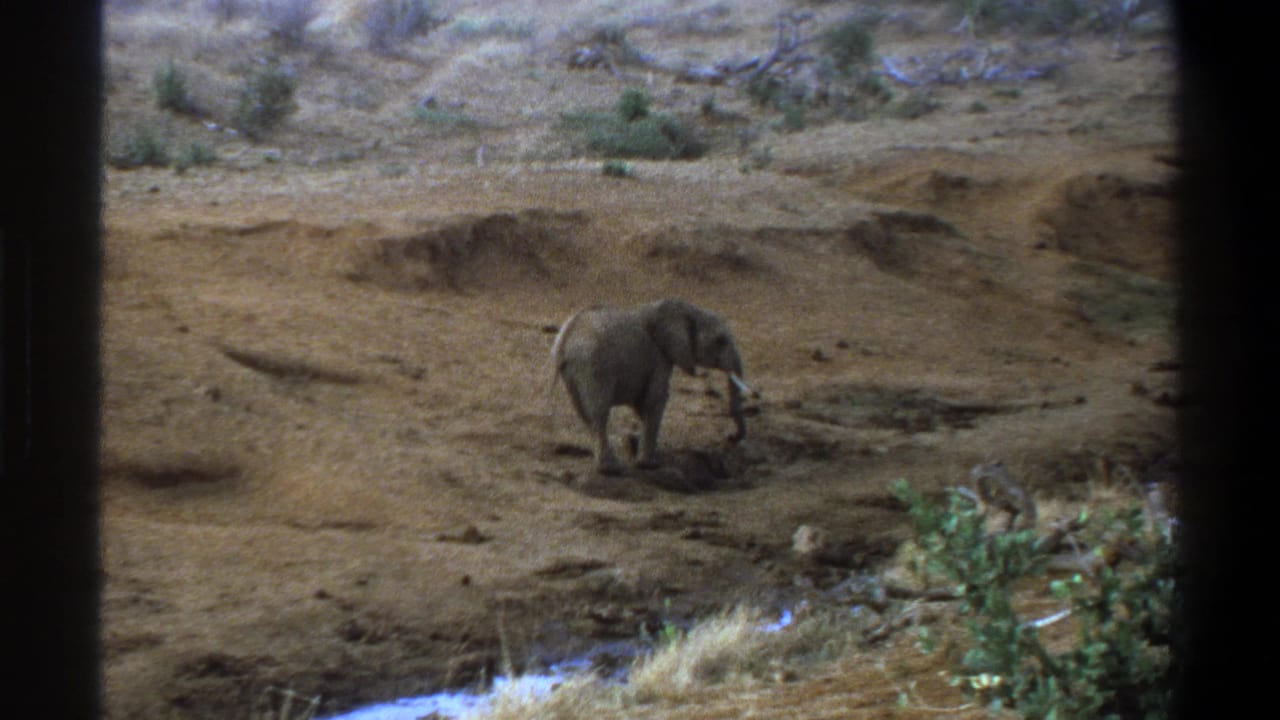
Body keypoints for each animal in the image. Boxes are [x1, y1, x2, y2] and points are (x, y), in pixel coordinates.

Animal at [551, 298, 751, 476]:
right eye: (720, 341)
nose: (731, 437)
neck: (685, 308)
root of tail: (565, 341)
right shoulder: (660, 358)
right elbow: (655, 400)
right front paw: (650, 465)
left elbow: (643, 405)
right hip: (594, 366)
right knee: (599, 413)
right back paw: (611, 469)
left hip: (574, 372)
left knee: (585, 413)